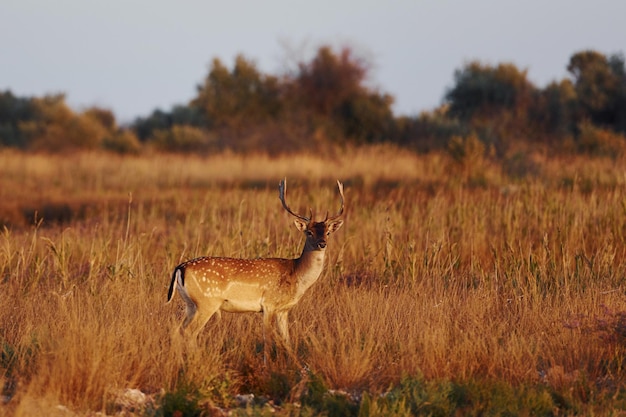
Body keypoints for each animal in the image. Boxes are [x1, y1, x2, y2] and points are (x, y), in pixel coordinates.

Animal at [166, 177, 344, 342]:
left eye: (328, 232)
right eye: (309, 232)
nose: (322, 243)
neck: (296, 274)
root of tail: (180, 268)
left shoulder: (283, 310)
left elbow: (287, 339)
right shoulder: (269, 304)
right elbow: (268, 339)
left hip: (190, 304)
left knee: (177, 331)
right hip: (206, 302)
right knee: (189, 333)